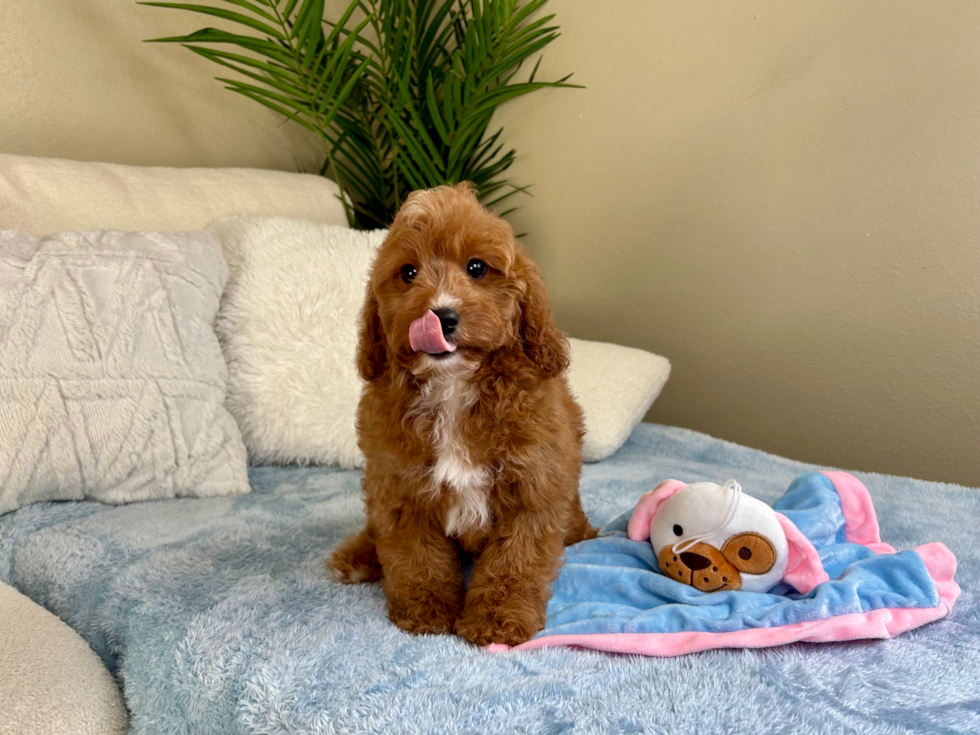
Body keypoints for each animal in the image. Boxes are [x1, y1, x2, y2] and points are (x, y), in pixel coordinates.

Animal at [328, 183, 596, 644]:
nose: (441, 316)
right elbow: (416, 556)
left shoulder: (533, 490)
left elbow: (514, 562)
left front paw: (496, 619)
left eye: (476, 267)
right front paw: (426, 610)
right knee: (375, 529)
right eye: (408, 273)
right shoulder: (400, 488)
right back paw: (358, 556)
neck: (454, 386)